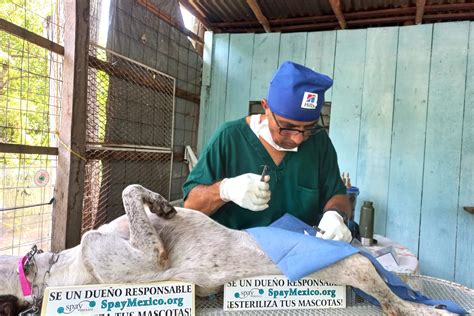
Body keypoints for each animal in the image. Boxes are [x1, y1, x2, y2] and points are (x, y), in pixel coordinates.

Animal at [0, 184, 454, 314]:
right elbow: (130, 192)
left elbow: (136, 192)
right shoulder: (146, 258)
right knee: (404, 306)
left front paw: (161, 203)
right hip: (362, 269)